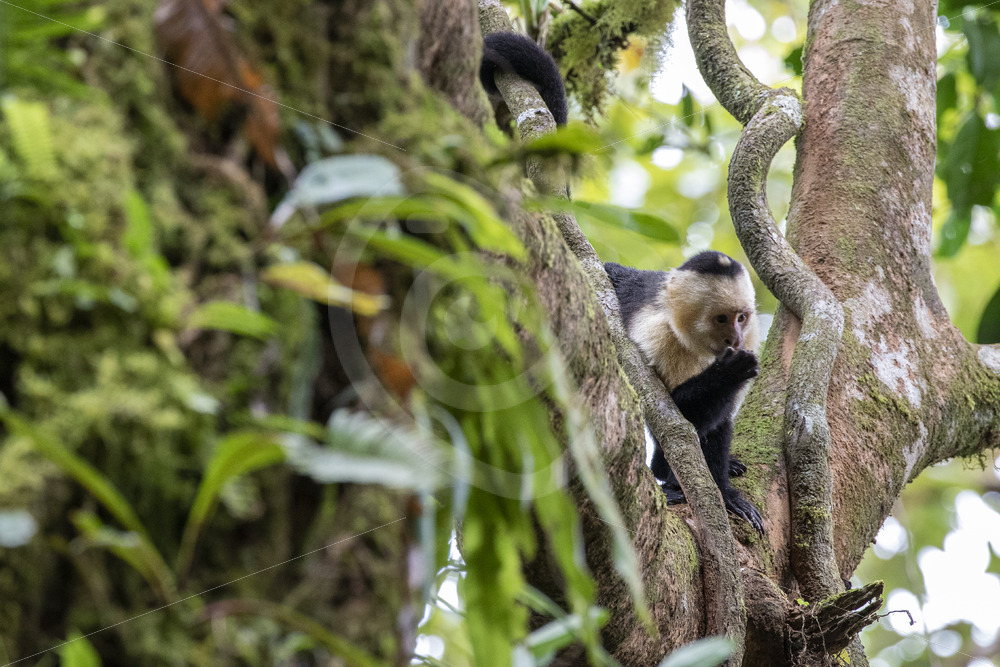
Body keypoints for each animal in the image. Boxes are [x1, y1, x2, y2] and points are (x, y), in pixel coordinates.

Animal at [605, 250, 764, 535]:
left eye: (741, 318)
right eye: (721, 319)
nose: (735, 339)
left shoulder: (751, 334)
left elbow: (717, 422)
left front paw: (724, 493)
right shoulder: (659, 335)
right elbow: (676, 419)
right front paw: (729, 372)